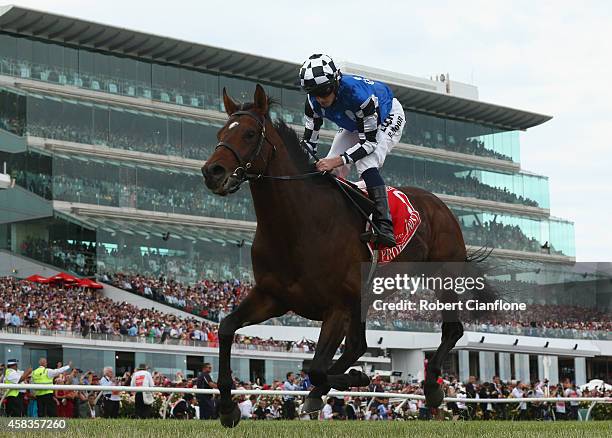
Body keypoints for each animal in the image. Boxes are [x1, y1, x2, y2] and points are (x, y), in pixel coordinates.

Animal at [203, 84, 470, 426]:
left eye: (249, 134)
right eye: (221, 132)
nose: (212, 172)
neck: (297, 225)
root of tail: (439, 205)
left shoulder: (338, 306)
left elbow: (316, 367)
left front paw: (357, 378)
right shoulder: (272, 297)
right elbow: (226, 328)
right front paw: (227, 407)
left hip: (443, 276)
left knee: (452, 329)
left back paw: (432, 387)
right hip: (364, 298)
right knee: (358, 345)